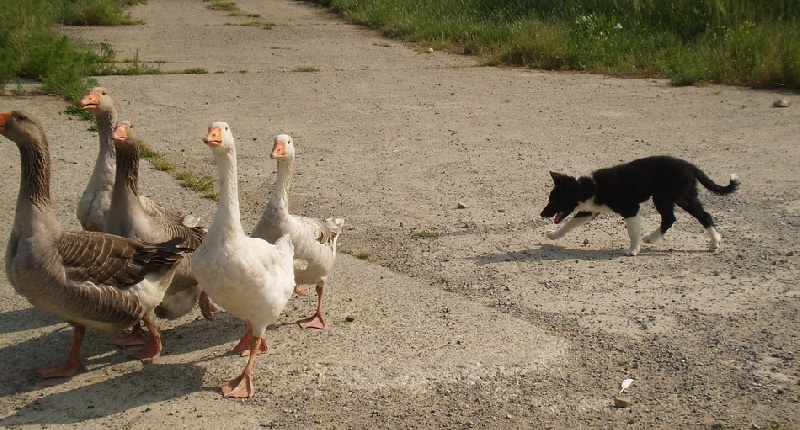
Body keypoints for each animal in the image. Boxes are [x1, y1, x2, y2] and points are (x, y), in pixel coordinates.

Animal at [540, 155, 739, 256]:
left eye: (555, 201)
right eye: (550, 199)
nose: (542, 214)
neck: (588, 188)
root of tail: (689, 166)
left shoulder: (631, 208)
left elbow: (633, 231)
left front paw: (633, 249)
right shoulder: (589, 211)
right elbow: (568, 225)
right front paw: (554, 235)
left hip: (667, 196)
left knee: (679, 217)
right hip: (681, 197)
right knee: (694, 216)